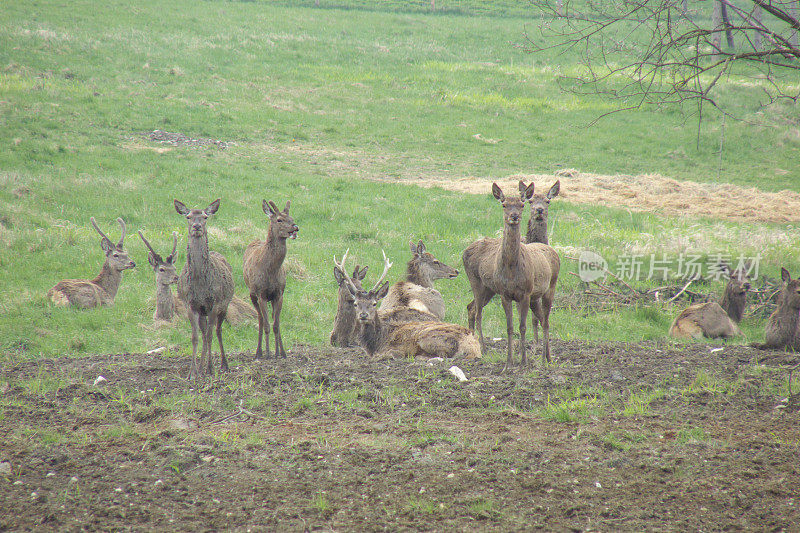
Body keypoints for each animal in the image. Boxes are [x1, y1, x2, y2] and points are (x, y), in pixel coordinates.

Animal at [174, 197, 234, 376]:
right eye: (188, 217)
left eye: (205, 217)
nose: (197, 226)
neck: (200, 284)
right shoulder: (191, 304)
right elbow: (195, 337)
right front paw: (192, 372)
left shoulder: (214, 303)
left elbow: (210, 335)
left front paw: (210, 369)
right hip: (202, 311)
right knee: (204, 331)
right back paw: (201, 367)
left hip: (224, 305)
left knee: (217, 331)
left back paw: (223, 364)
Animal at [242, 198, 298, 358]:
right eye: (279, 219)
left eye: (291, 218)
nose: (295, 228)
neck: (271, 271)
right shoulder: (261, 293)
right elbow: (267, 325)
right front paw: (267, 353)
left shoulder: (279, 293)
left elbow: (276, 325)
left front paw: (280, 353)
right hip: (252, 294)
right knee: (261, 319)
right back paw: (258, 352)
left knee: (273, 319)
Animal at [338, 251, 482, 360]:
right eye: (356, 303)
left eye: (374, 303)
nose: (363, 315)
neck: (376, 342)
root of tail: (472, 345)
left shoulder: (394, 349)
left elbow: (389, 354)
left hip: (428, 338)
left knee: (442, 355)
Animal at [462, 182, 564, 366]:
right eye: (504, 204)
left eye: (522, 204)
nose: (514, 216)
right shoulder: (508, 295)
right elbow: (515, 325)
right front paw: (517, 357)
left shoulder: (527, 294)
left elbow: (527, 323)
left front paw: (527, 356)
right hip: (477, 283)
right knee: (477, 311)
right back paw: (482, 348)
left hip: (498, 289)